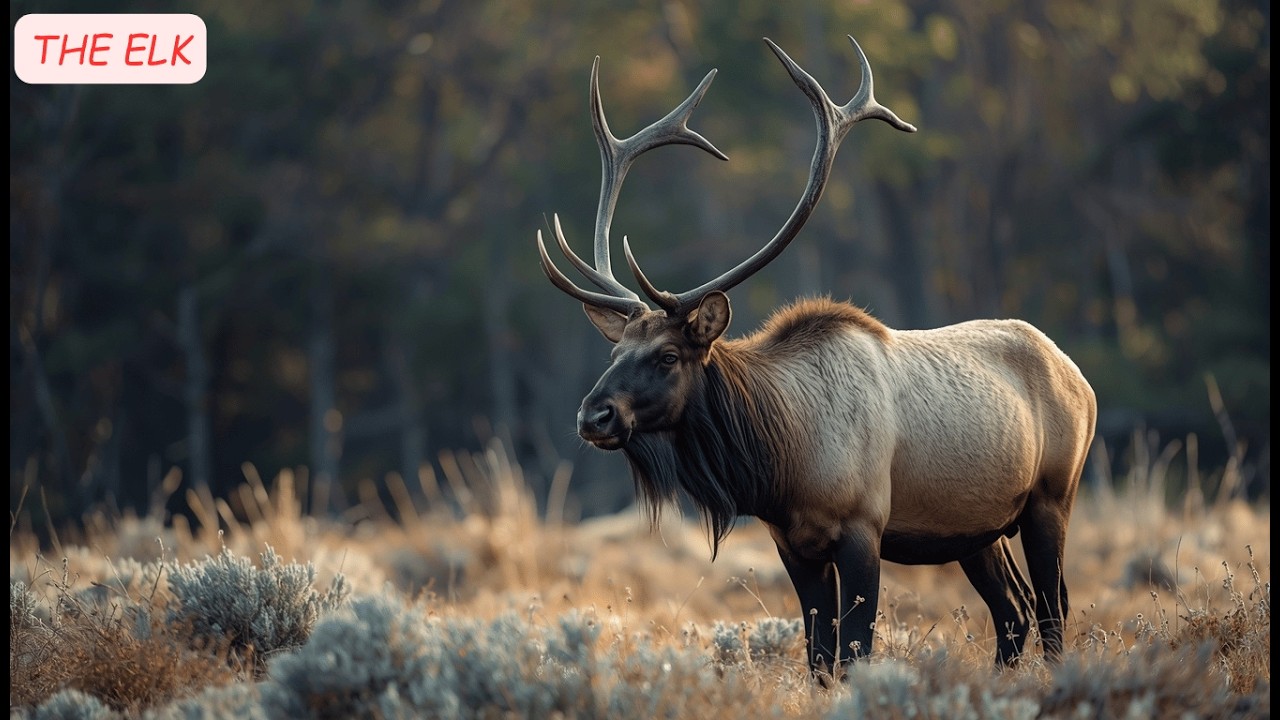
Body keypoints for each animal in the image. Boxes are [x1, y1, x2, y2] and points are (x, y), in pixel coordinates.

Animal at [534, 34, 1097, 679]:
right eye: (617, 347)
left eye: (669, 355)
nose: (593, 416)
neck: (783, 460)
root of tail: (1079, 378)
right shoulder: (792, 543)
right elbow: (819, 656)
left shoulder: (863, 528)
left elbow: (854, 651)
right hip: (977, 529)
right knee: (1015, 612)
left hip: (1051, 496)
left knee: (1053, 609)